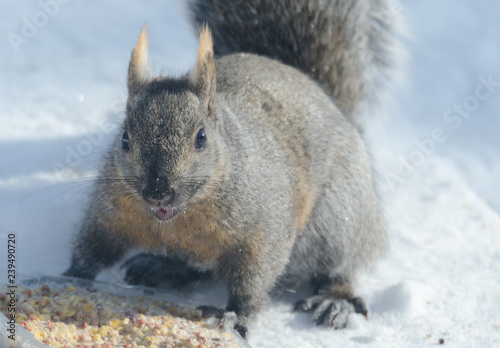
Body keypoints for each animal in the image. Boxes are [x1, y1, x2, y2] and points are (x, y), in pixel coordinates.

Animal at [63, 0, 398, 338]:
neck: (179, 221)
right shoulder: (111, 214)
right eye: (125, 138)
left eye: (201, 138)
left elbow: (253, 279)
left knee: (340, 268)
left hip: (338, 219)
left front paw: (237, 316)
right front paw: (71, 276)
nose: (158, 191)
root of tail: (333, 105)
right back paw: (162, 267)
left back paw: (333, 301)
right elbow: (94, 246)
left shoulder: (264, 232)